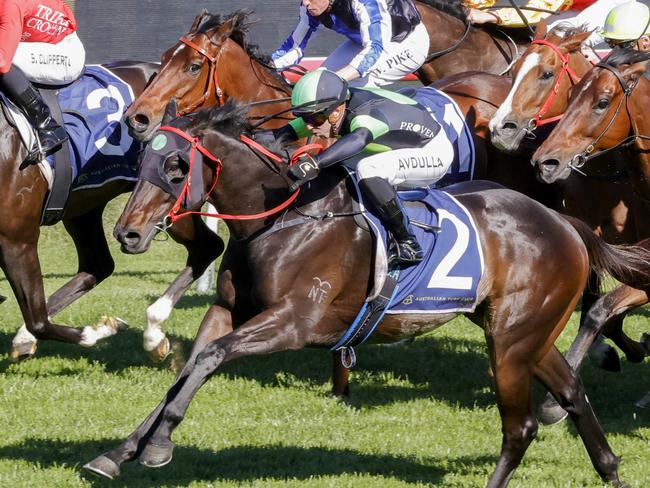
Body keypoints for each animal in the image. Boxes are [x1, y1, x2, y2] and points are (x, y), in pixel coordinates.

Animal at [2, 61, 225, 360]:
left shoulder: (17, 236)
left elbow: (37, 319)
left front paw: (99, 330)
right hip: (83, 207)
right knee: (98, 265)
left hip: (170, 204)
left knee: (208, 246)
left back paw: (154, 334)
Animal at [82, 101, 648, 486]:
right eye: (142, 162)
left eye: (177, 166)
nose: (128, 234)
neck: (281, 219)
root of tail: (563, 220)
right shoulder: (226, 311)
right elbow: (188, 371)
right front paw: (120, 452)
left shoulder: (296, 323)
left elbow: (209, 360)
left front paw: (157, 446)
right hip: (527, 335)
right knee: (572, 394)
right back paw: (611, 470)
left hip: (511, 342)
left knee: (521, 425)